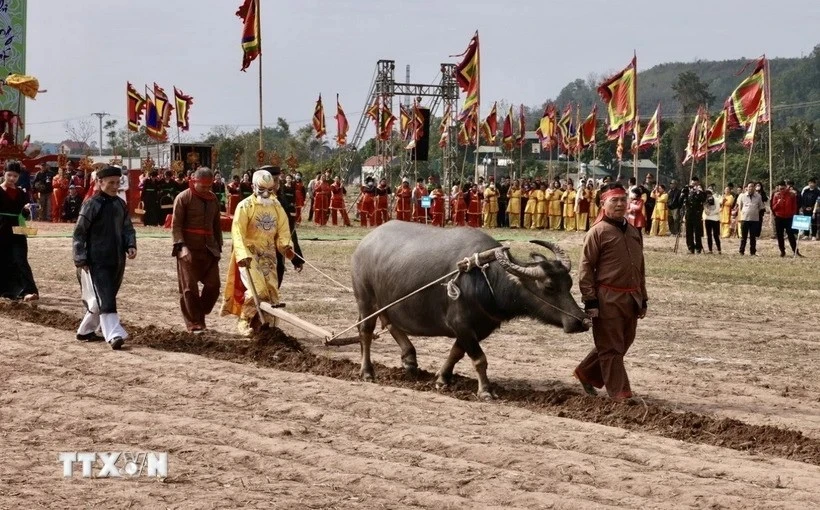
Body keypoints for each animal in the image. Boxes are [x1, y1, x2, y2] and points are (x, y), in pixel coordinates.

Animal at [350, 221, 588, 400]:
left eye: (569, 283)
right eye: (549, 287)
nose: (580, 321)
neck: (484, 278)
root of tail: (364, 243)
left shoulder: (479, 328)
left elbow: (457, 352)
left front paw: (442, 379)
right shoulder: (461, 324)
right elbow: (479, 359)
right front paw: (485, 391)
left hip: (385, 301)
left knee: (389, 322)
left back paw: (409, 360)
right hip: (365, 299)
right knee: (366, 331)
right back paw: (367, 371)